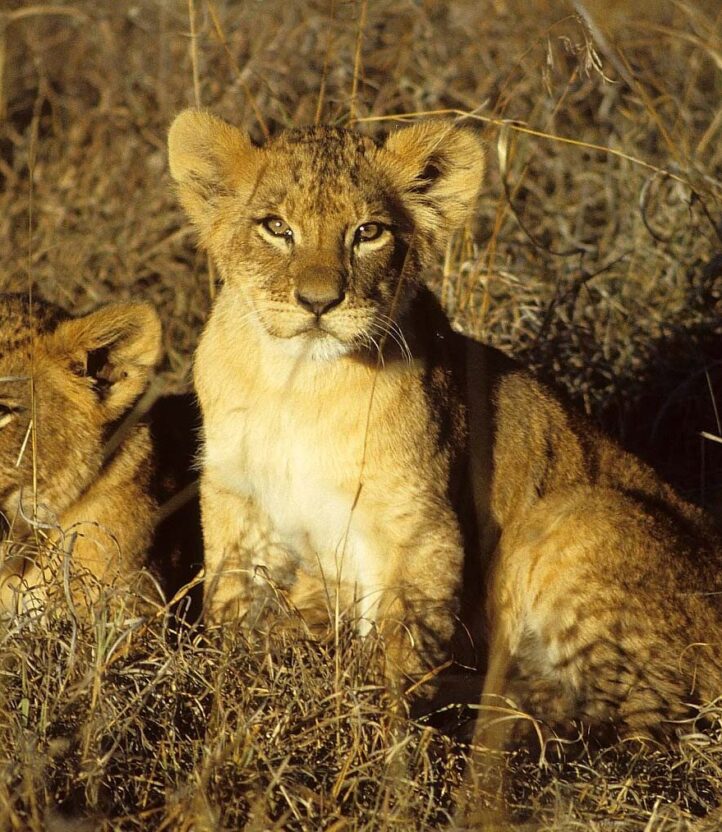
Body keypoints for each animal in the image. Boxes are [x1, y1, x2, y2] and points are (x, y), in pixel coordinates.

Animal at [167, 110, 722, 818]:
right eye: (276, 227)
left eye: (368, 233)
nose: (319, 301)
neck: (299, 383)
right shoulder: (237, 503)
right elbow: (231, 605)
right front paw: (228, 686)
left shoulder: (419, 527)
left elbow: (398, 650)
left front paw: (375, 747)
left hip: (578, 512)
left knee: (631, 729)